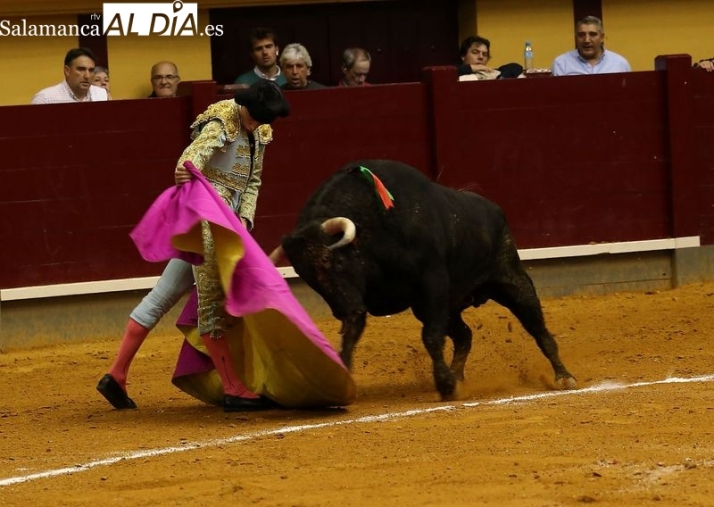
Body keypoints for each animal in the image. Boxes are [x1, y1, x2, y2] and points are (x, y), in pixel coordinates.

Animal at [270, 161, 576, 398]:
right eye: (305, 275)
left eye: (329, 260)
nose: (339, 311)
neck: (374, 227)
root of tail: (495, 211)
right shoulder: (365, 298)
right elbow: (352, 335)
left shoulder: (432, 285)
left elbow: (430, 337)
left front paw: (445, 386)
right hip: (445, 306)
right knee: (464, 336)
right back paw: (458, 377)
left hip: (512, 282)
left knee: (539, 330)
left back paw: (564, 377)